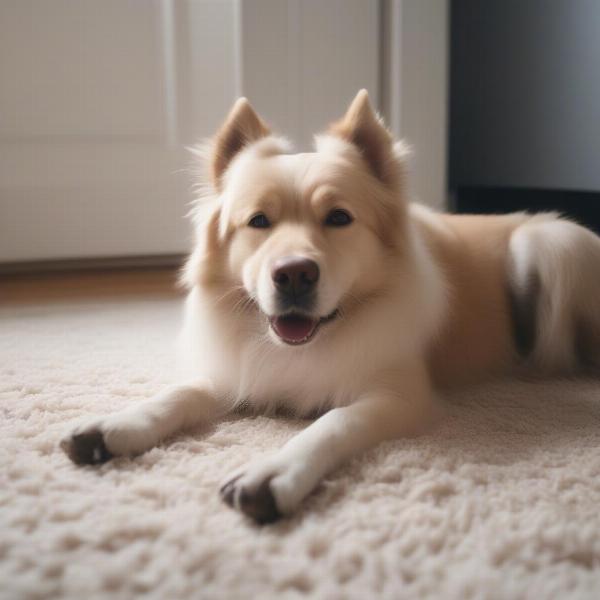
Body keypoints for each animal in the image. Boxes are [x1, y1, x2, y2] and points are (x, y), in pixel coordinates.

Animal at [61, 90, 600, 524]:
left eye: (339, 218)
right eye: (258, 221)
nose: (294, 274)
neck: (307, 343)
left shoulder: (397, 395)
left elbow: (334, 422)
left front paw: (274, 473)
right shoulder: (240, 371)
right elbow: (183, 393)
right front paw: (117, 425)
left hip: (548, 245)